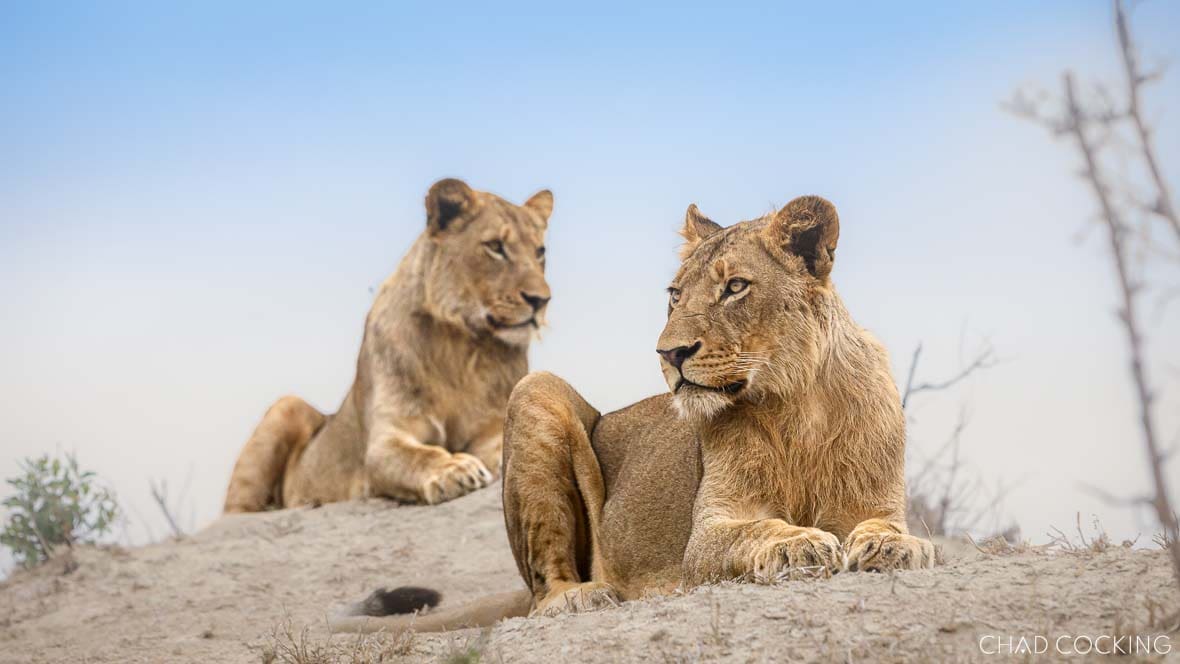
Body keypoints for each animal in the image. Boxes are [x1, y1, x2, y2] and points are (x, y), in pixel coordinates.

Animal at [222, 178, 553, 512]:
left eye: (540, 252)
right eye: (495, 247)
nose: (541, 300)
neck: (461, 348)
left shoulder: (494, 423)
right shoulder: (386, 439)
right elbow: (418, 455)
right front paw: (454, 470)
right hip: (285, 407)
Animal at [329, 194, 935, 632]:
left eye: (735, 287)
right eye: (674, 294)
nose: (670, 353)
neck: (796, 403)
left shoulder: (875, 499)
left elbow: (891, 528)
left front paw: (895, 545)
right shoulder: (706, 538)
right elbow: (756, 531)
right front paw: (798, 541)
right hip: (536, 391)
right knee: (543, 590)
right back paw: (584, 596)